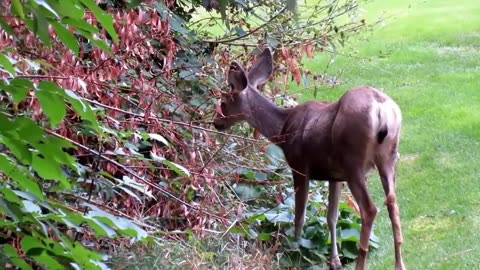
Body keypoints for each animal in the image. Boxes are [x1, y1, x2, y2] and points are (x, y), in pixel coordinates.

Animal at [213, 47, 404, 270]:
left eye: (223, 102)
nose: (216, 122)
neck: (282, 129)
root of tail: (382, 110)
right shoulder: (335, 176)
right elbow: (332, 217)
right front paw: (335, 261)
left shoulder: (299, 166)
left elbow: (300, 216)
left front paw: (295, 251)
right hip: (388, 158)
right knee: (393, 204)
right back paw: (400, 264)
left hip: (353, 162)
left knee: (370, 209)